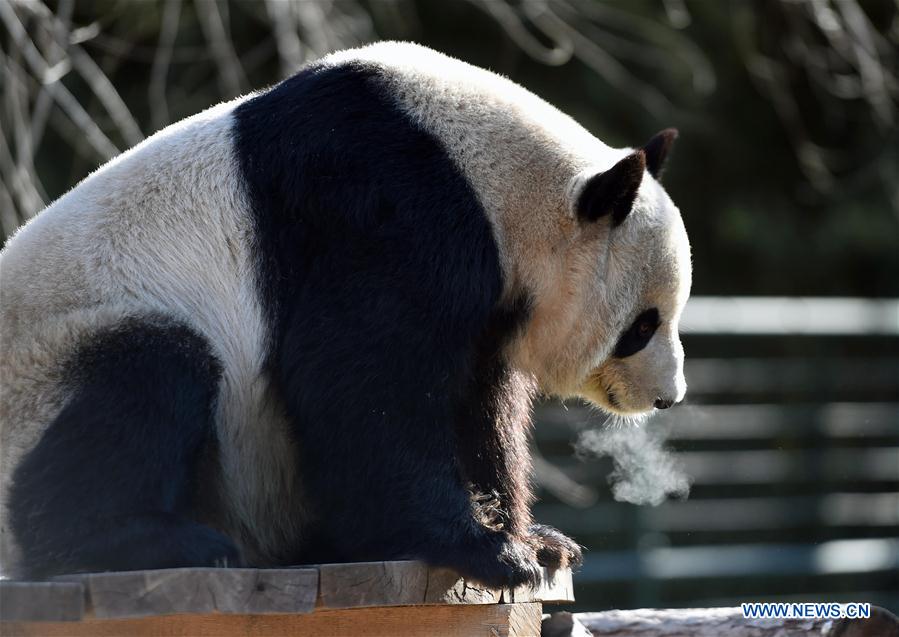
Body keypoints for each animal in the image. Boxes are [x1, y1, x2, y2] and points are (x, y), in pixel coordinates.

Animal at [0, 42, 688, 584]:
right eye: (643, 325)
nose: (668, 398)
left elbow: (477, 404)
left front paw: (537, 541)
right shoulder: (388, 209)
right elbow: (358, 377)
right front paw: (486, 549)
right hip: (52, 360)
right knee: (146, 378)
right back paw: (155, 542)